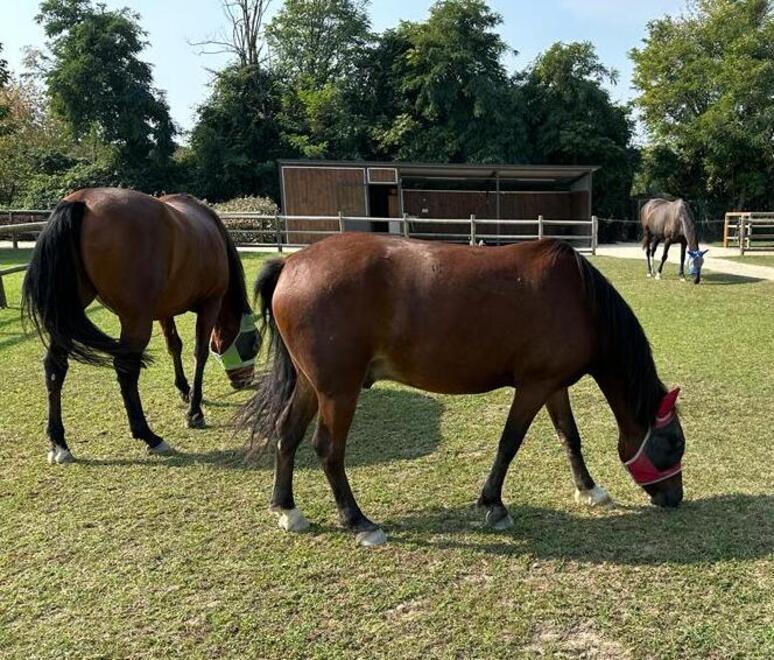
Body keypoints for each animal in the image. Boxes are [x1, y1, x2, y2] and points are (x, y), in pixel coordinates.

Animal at [22, 188, 259, 464]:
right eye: (253, 345)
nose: (244, 380)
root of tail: (82, 200)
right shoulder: (210, 303)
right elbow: (199, 353)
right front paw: (194, 411)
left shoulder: (165, 310)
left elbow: (174, 346)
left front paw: (185, 390)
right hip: (136, 319)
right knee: (126, 369)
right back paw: (149, 436)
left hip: (68, 315)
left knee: (55, 366)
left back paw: (59, 443)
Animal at [239, 233, 686, 547]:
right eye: (674, 444)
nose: (675, 499)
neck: (581, 301)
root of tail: (291, 262)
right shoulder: (534, 386)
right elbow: (509, 443)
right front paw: (494, 504)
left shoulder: (554, 386)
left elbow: (569, 437)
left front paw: (589, 489)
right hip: (339, 391)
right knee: (328, 450)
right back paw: (358, 521)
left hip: (311, 385)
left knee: (287, 434)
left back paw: (288, 509)